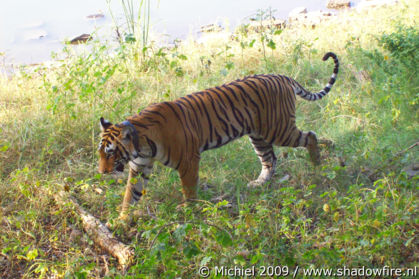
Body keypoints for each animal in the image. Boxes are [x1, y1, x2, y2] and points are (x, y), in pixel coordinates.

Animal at [97, 51, 338, 220]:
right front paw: (121, 220)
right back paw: (260, 183)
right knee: (270, 159)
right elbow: (130, 195)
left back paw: (317, 163)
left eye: (110, 152)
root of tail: (281, 76)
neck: (141, 146)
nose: (101, 172)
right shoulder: (139, 168)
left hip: (279, 130)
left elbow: (188, 190)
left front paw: (189, 211)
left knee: (310, 136)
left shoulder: (189, 161)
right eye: (100, 153)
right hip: (259, 136)